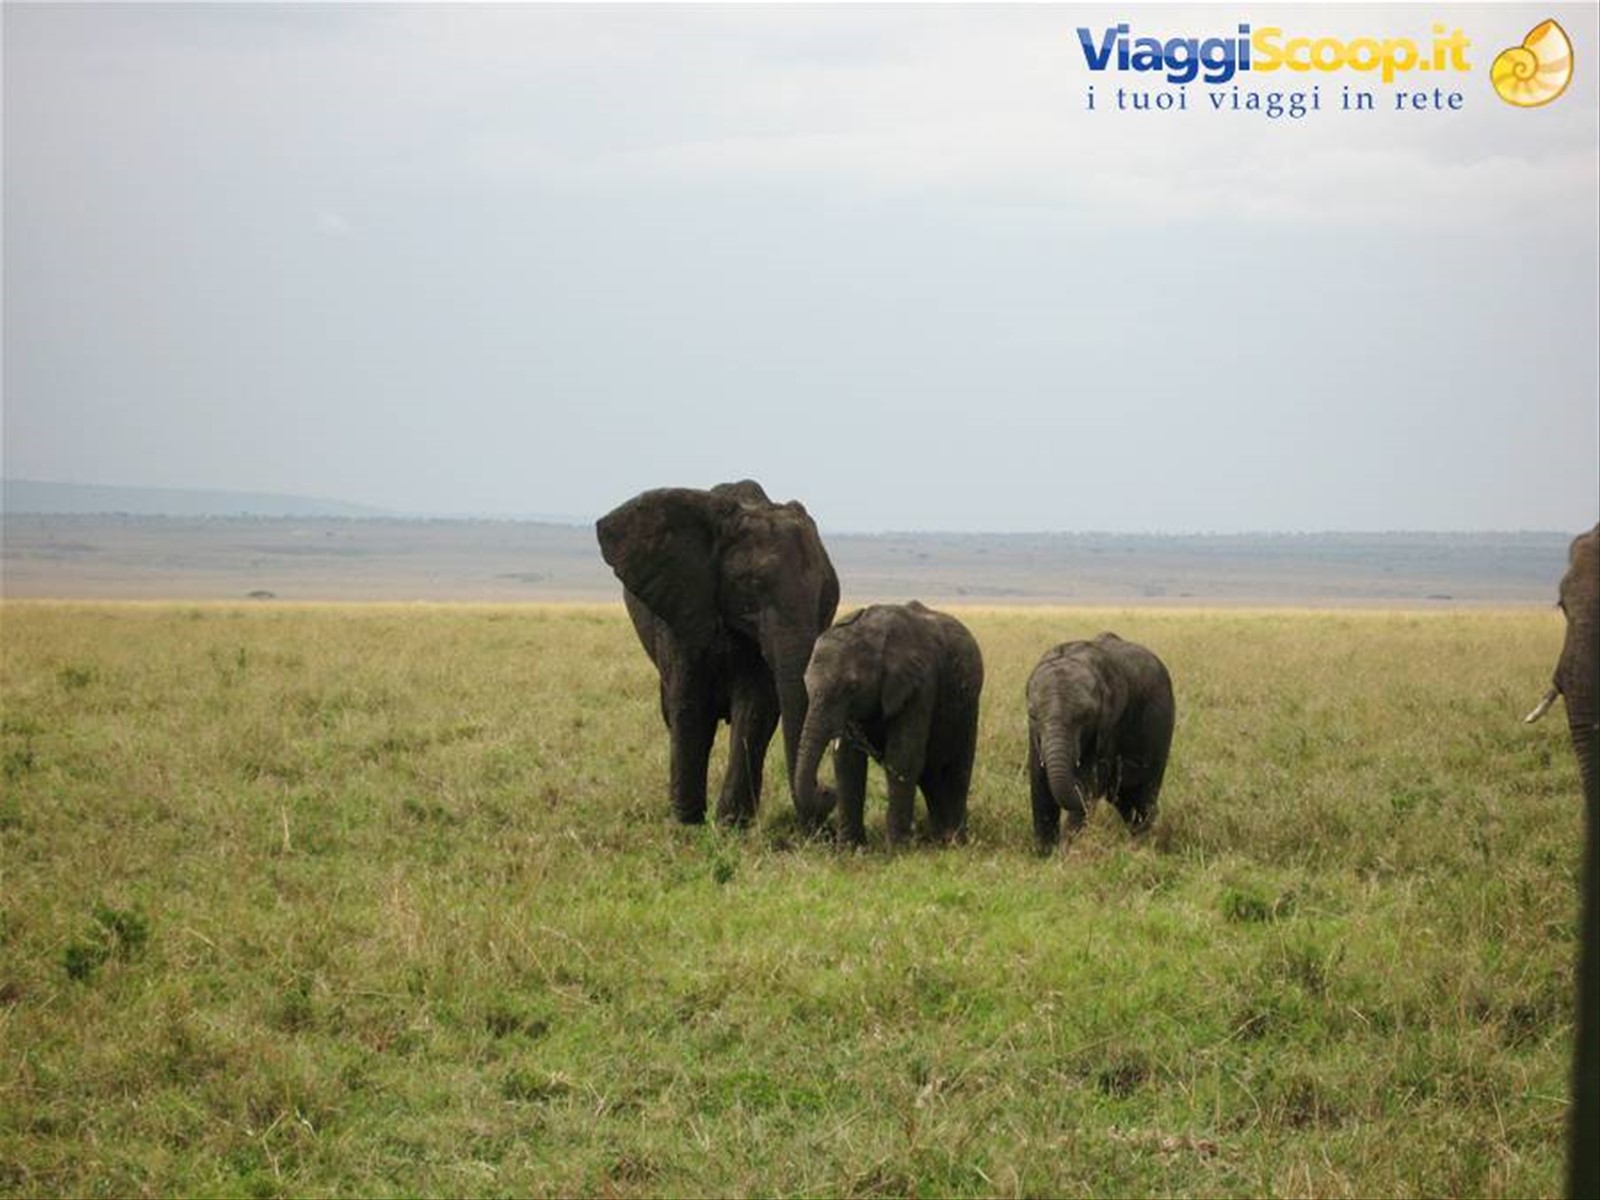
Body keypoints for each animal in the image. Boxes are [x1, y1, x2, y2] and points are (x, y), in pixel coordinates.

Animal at [595, 480, 839, 827]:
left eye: (826, 590)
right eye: (753, 583)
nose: (828, 791)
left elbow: (754, 709)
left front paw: (730, 825)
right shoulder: (683, 609)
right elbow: (689, 706)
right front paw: (687, 824)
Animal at [794, 601, 984, 846]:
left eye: (852, 687)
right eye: (806, 683)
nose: (826, 791)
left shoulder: (920, 686)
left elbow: (902, 757)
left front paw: (897, 849)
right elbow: (847, 761)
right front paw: (850, 848)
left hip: (968, 708)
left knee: (958, 769)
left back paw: (954, 840)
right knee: (930, 773)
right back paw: (939, 838)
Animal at [1026, 633, 1174, 851]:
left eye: (1086, 716)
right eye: (1033, 715)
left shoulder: (1110, 725)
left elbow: (1092, 778)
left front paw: (1065, 853)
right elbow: (1039, 780)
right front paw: (1045, 853)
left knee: (1144, 794)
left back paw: (1143, 842)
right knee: (1125, 801)